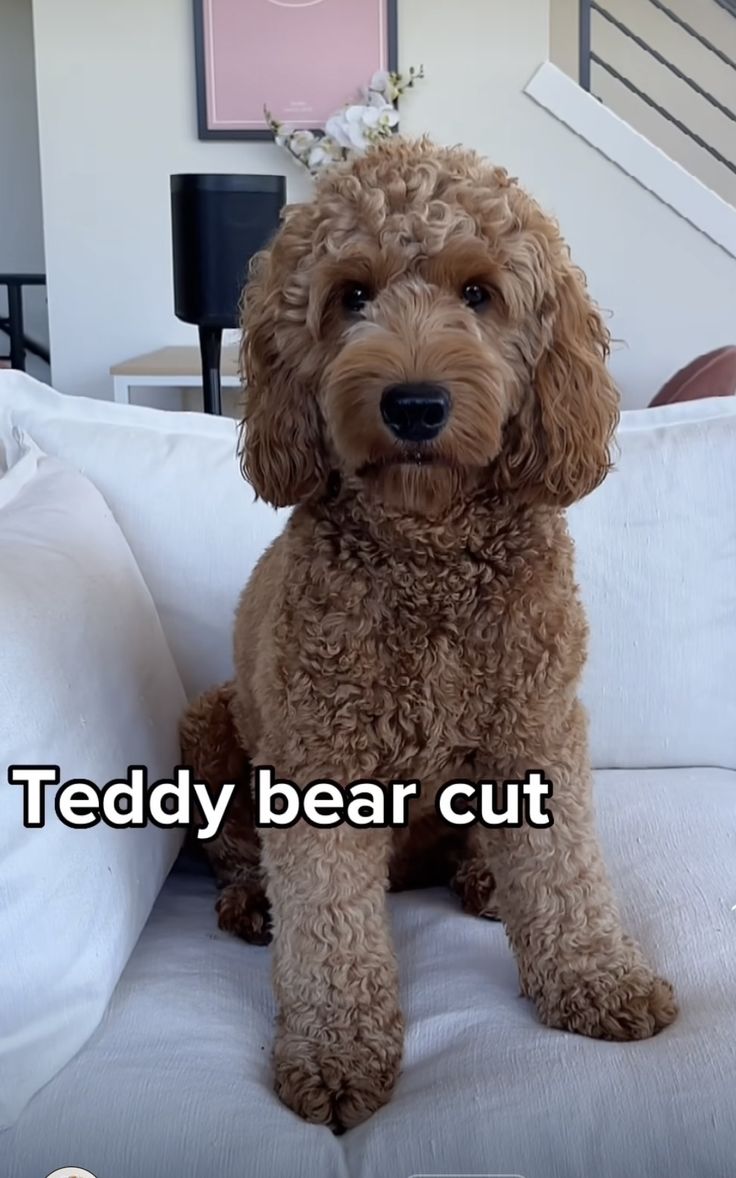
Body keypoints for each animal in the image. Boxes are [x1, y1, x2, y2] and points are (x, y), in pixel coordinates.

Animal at [181, 135, 673, 1130]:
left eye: (479, 293)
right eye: (351, 295)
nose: (413, 404)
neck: (429, 550)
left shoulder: (536, 725)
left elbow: (564, 870)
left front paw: (598, 977)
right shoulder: (320, 758)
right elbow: (328, 923)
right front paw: (336, 1050)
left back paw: (484, 877)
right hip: (211, 723)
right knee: (237, 855)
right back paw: (254, 904)